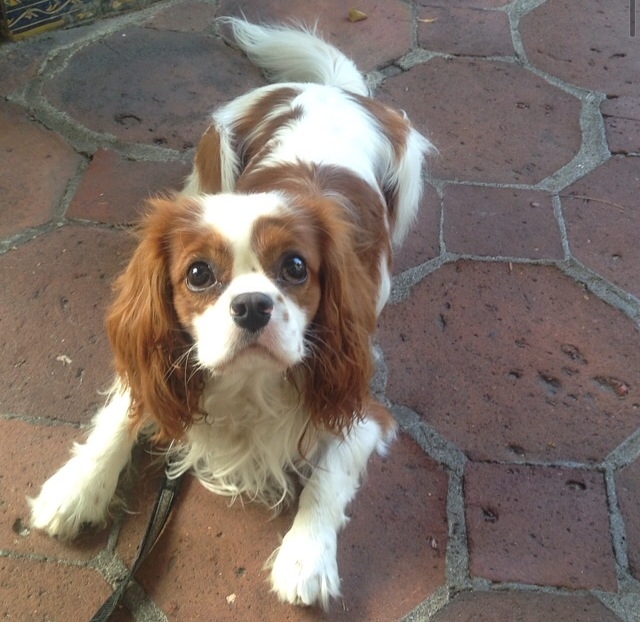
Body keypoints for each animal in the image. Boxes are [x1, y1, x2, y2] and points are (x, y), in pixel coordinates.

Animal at [27, 18, 432, 608]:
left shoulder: (362, 409)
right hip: (214, 146)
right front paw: (76, 488)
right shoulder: (155, 364)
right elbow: (119, 416)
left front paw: (306, 559)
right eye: (198, 274)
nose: (252, 305)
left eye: (295, 267)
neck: (247, 387)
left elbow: (326, 480)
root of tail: (331, 90)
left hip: (409, 174)